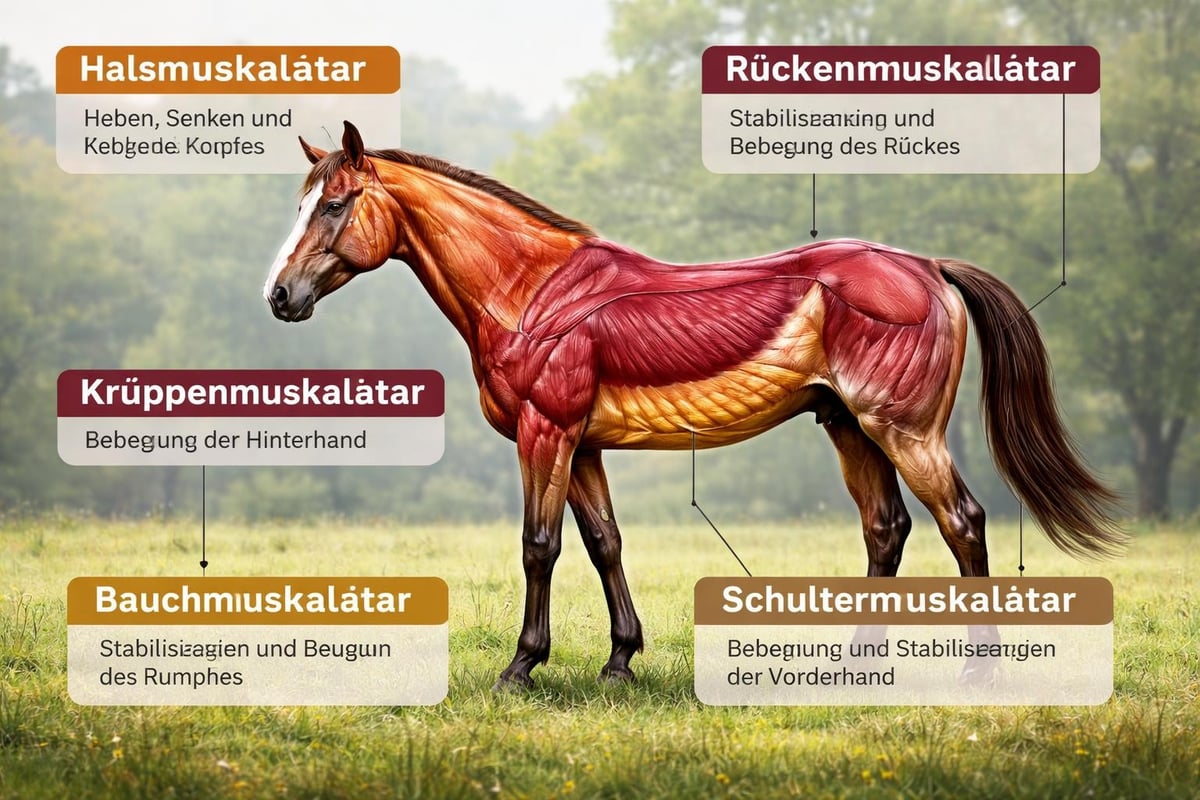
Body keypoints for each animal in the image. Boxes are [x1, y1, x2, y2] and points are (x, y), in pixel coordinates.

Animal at [264, 121, 1123, 689]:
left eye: (336, 204)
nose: (280, 296)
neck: (531, 292)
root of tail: (929, 267)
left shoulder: (547, 431)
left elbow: (540, 545)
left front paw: (521, 668)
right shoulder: (584, 443)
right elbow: (604, 542)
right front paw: (619, 661)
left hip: (904, 429)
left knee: (962, 523)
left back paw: (982, 668)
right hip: (850, 428)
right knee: (887, 531)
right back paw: (855, 660)